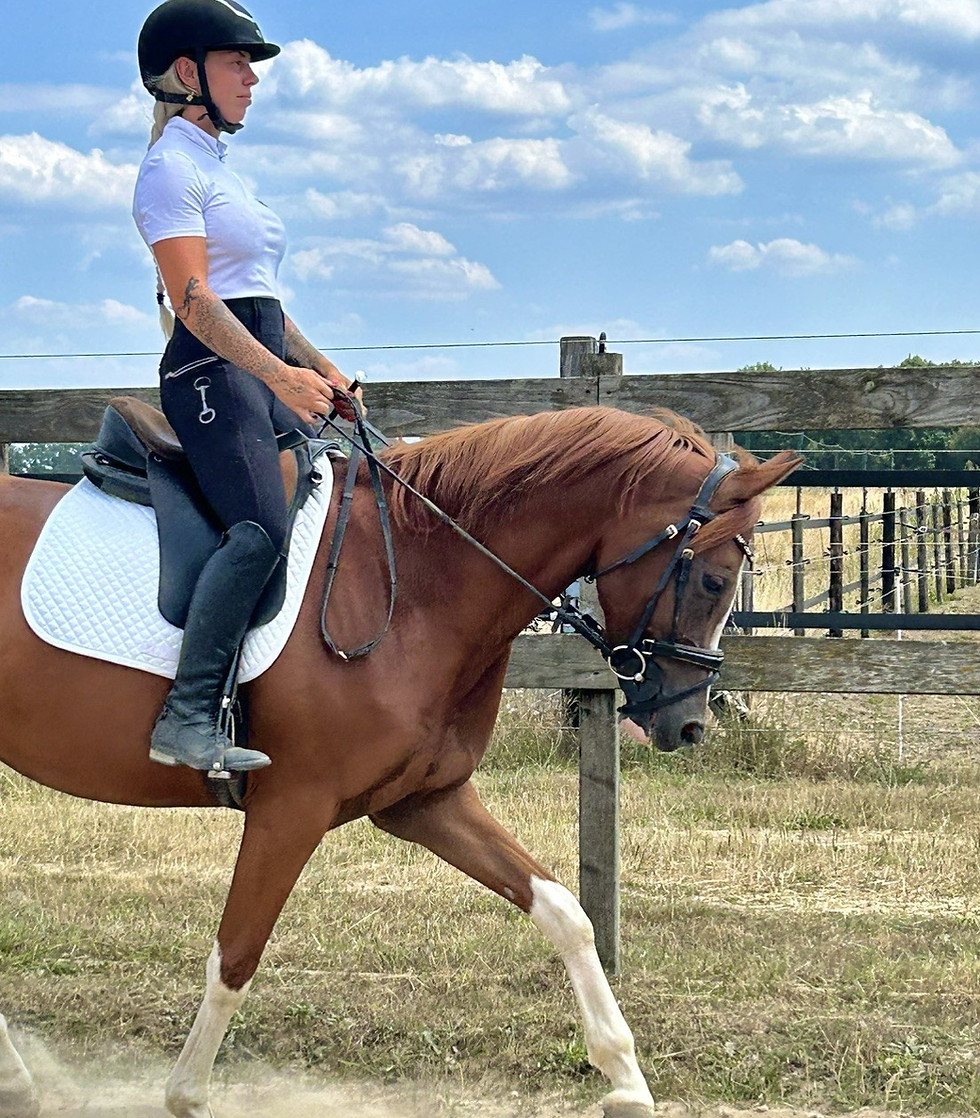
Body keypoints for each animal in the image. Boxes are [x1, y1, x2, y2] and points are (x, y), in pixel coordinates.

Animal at [0, 404, 799, 1118]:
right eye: (713, 580)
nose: (688, 725)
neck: (414, 579)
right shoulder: (292, 809)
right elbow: (237, 955)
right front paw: (187, 1096)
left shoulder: (424, 802)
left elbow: (565, 912)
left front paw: (626, 1081)